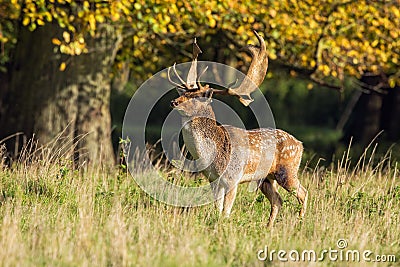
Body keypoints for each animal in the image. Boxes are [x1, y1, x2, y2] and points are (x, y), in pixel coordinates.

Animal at [167, 30, 308, 228]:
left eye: (196, 97)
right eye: (185, 93)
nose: (174, 102)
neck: (213, 155)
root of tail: (300, 144)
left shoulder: (232, 178)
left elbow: (226, 212)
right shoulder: (213, 180)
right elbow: (217, 209)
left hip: (288, 170)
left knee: (303, 193)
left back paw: (299, 221)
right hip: (266, 178)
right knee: (277, 200)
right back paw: (268, 227)